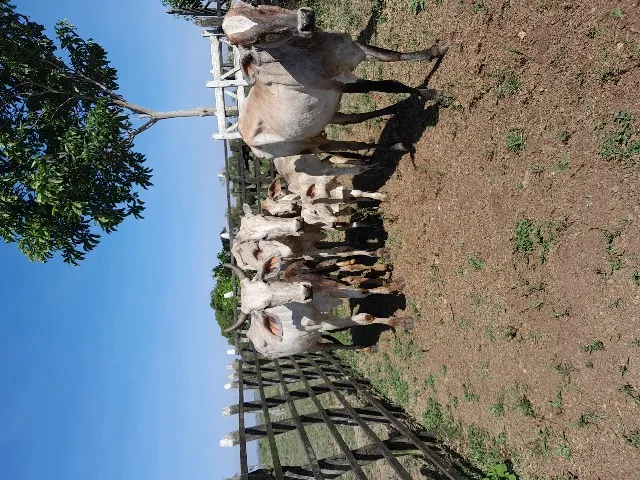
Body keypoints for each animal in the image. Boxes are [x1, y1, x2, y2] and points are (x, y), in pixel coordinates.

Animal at [222, 0, 449, 159]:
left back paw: (397, 111)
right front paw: (434, 94)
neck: (313, 50)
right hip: (313, 145)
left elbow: (394, 56)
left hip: (330, 117)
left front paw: (436, 51)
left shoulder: (355, 51)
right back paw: (397, 146)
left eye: (254, 5)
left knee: (354, 119)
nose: (305, 20)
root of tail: (243, 134)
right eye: (257, 40)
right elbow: (391, 84)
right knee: (354, 145)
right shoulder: (341, 85)